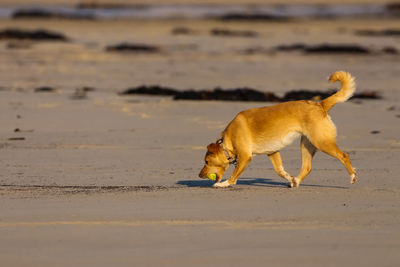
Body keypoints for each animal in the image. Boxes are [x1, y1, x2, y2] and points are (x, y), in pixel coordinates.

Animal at [198, 71, 358, 188]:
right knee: (307, 167)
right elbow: (280, 171)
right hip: (307, 145)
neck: (228, 140)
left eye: (206, 162)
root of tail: (320, 105)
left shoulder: (245, 156)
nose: (199, 175)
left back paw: (353, 176)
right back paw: (296, 181)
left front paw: (224, 184)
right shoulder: (272, 152)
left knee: (344, 156)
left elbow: (234, 175)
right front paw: (290, 178)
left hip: (322, 142)